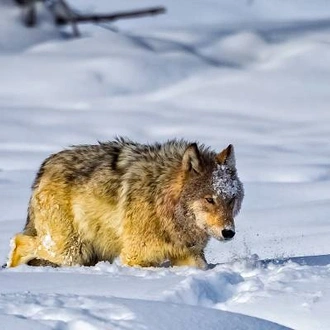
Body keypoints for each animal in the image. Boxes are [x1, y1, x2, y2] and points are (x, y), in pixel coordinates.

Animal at [7, 138, 242, 270]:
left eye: (231, 200)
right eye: (209, 199)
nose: (228, 232)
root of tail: (45, 166)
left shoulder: (189, 255)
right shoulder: (136, 258)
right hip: (70, 251)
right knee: (19, 240)